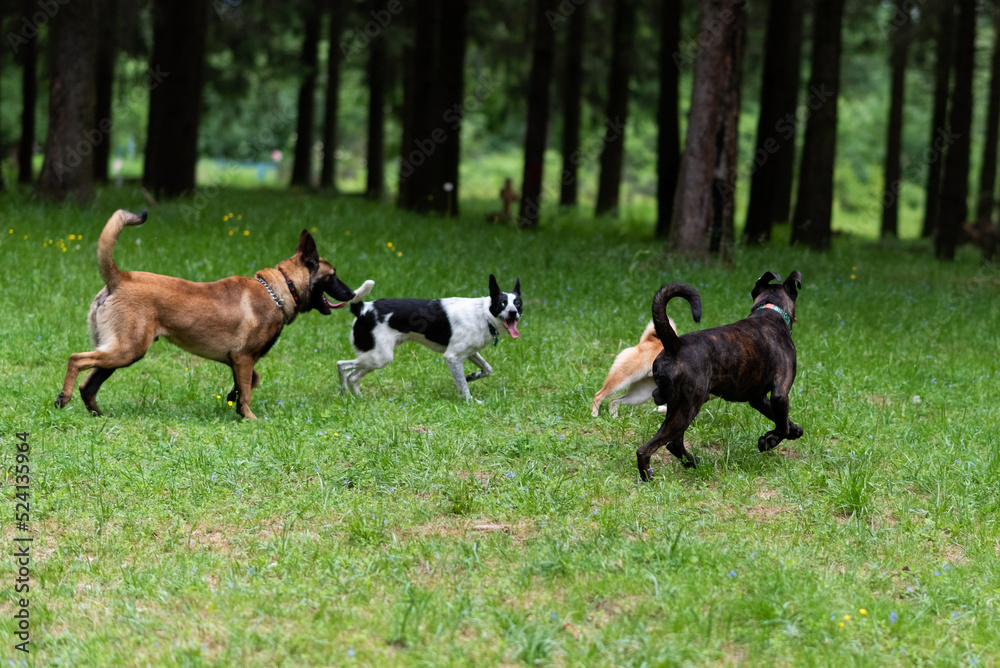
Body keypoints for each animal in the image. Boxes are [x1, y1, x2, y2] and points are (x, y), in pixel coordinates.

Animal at [53, 209, 360, 418]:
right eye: (333, 276)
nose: (352, 294)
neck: (276, 290)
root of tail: (119, 278)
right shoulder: (244, 358)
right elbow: (248, 391)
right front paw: (249, 417)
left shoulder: (238, 362)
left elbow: (248, 383)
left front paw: (233, 402)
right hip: (127, 349)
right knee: (76, 359)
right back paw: (63, 398)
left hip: (117, 351)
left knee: (89, 385)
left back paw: (97, 414)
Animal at [338, 274, 524, 400]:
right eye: (502, 304)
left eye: (518, 303)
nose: (513, 312)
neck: (484, 314)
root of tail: (363, 308)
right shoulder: (452, 357)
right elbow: (463, 387)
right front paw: (471, 401)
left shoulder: (469, 353)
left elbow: (487, 369)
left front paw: (472, 376)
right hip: (379, 357)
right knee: (341, 365)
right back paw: (343, 393)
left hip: (375, 357)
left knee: (353, 376)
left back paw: (357, 397)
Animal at [640, 272, 804, 480]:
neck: (770, 312)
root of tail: (675, 344)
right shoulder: (780, 394)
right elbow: (781, 425)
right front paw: (769, 441)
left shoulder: (759, 399)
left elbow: (782, 419)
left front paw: (795, 430)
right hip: (687, 409)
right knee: (646, 449)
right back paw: (648, 477)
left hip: (679, 407)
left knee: (674, 445)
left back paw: (693, 463)